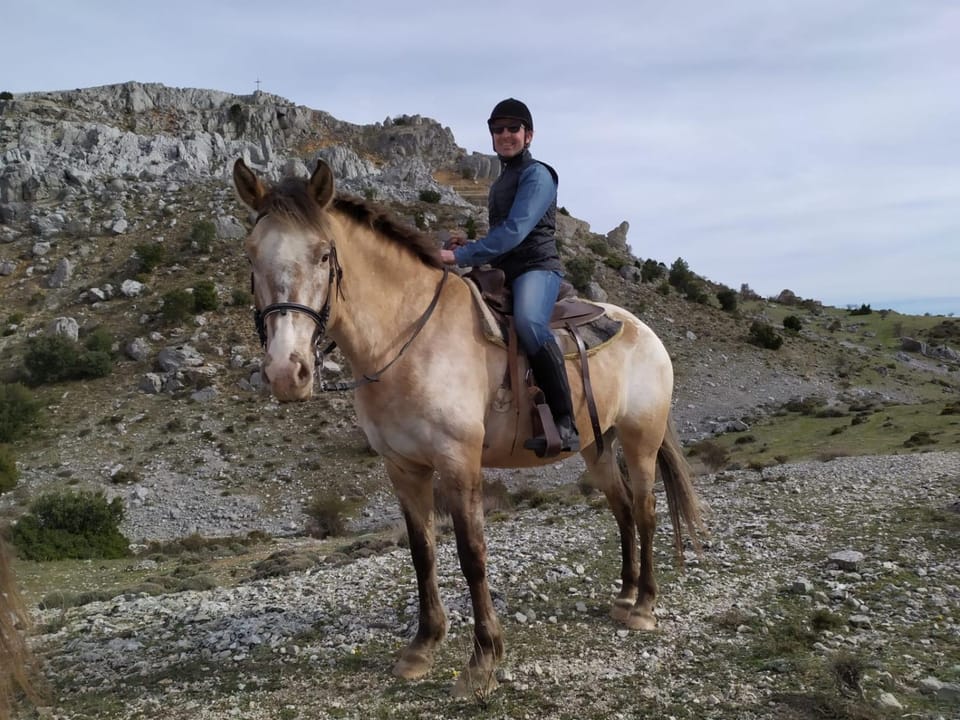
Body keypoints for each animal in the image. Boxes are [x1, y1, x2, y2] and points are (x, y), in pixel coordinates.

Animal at [233, 158, 704, 696]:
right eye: (250, 253)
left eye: (324, 253)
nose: (285, 373)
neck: (407, 339)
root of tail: (646, 332)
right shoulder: (403, 468)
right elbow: (422, 553)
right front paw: (421, 649)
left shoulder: (459, 463)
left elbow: (471, 553)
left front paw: (482, 660)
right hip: (596, 444)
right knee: (622, 508)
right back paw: (624, 596)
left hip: (640, 438)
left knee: (645, 510)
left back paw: (644, 606)